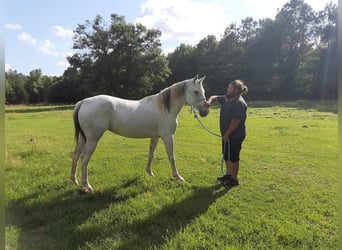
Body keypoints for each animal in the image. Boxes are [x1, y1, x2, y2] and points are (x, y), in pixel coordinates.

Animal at [70, 74, 208, 191]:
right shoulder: (168, 137)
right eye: (196, 91)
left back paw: (74, 180)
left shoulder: (155, 137)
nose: (205, 111)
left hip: (84, 138)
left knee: (76, 155)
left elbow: (151, 154)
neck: (164, 108)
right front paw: (178, 177)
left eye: (203, 92)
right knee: (84, 158)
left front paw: (149, 172)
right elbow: (171, 157)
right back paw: (87, 186)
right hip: (93, 139)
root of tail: (84, 102)